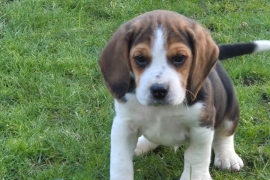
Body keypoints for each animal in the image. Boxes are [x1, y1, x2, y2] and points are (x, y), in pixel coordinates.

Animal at [99, 10, 270, 180]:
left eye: (179, 58)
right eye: (140, 59)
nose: (159, 90)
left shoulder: (201, 127)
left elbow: (196, 158)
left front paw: (196, 176)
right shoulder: (123, 125)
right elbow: (120, 162)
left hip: (230, 108)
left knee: (224, 135)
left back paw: (227, 156)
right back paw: (142, 144)